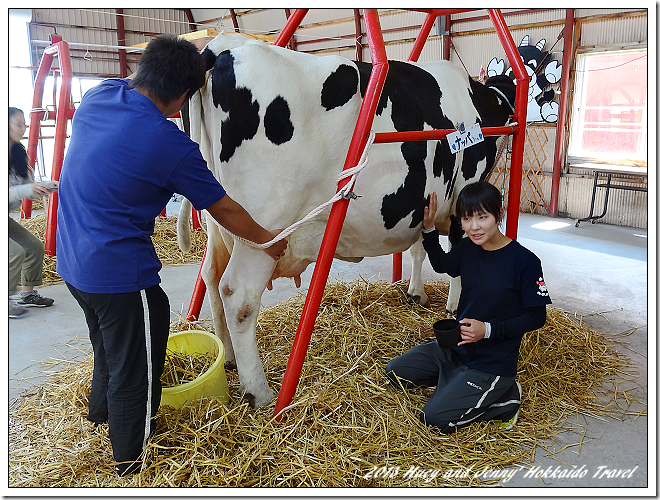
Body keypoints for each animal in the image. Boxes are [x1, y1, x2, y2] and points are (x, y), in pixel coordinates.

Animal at [179, 33, 516, 408]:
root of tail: (222, 47)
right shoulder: (462, 192)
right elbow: (459, 255)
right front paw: (455, 306)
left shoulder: (423, 202)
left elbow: (419, 248)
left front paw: (416, 293)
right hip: (263, 228)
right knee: (238, 296)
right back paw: (261, 392)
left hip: (218, 220)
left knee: (211, 278)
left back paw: (229, 360)